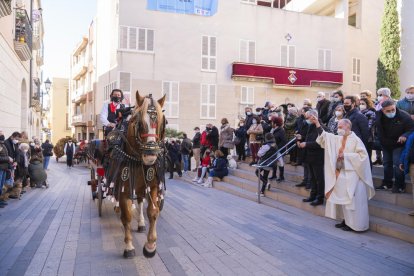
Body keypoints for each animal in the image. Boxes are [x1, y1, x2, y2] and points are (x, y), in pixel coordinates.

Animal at [114, 91, 166, 258]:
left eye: (162, 124)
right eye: (139, 123)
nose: (150, 156)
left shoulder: (153, 185)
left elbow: (153, 212)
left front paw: (150, 245)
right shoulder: (123, 189)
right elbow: (127, 216)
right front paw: (129, 246)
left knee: (141, 200)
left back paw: (142, 223)